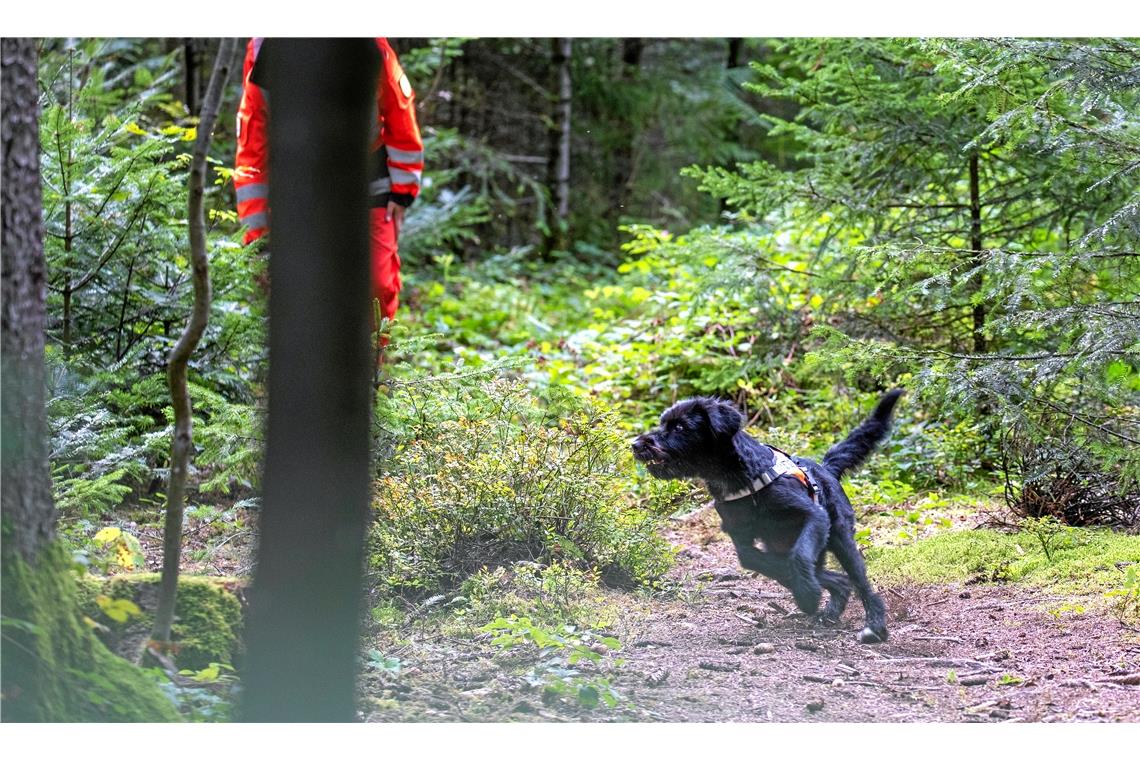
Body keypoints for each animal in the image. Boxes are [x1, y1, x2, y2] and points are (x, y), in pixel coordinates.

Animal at [629, 389, 902, 647]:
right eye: (663, 423)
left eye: (680, 427)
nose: (635, 443)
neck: (740, 477)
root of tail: (825, 468)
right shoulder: (741, 538)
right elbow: (765, 563)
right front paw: (810, 589)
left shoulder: (814, 516)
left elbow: (798, 557)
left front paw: (807, 594)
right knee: (831, 575)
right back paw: (833, 603)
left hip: (840, 537)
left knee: (860, 580)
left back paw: (874, 625)